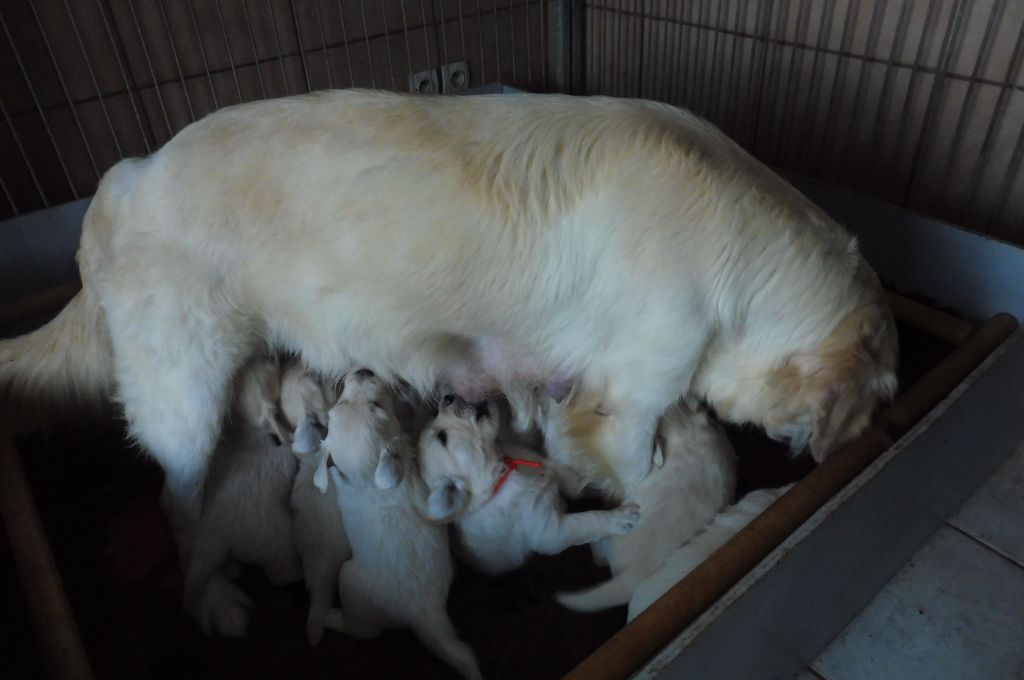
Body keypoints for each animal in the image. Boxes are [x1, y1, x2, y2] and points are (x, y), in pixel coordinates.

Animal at [183, 356, 302, 637]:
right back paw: (296, 572)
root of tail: (215, 535)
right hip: (280, 538)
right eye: (270, 364)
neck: (249, 431)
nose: (276, 354)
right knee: (278, 573)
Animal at [305, 370, 481, 680]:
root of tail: (424, 611)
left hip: (348, 580)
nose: (361, 370)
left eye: (376, 405)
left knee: (363, 631)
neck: (369, 478)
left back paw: (329, 617)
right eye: (342, 403)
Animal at [418, 394, 640, 574]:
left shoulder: (537, 461)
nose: (447, 397)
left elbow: (563, 474)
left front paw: (598, 487)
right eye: (442, 437)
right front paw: (621, 518)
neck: (503, 471)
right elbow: (587, 521)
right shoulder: (551, 533)